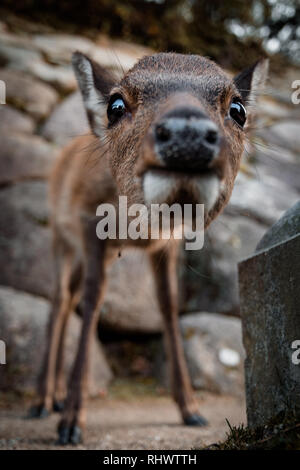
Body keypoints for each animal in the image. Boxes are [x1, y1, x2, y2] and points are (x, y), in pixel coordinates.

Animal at [28, 50, 268, 444]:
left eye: (238, 109)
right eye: (115, 105)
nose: (187, 134)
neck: (136, 228)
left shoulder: (167, 245)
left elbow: (169, 307)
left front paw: (191, 410)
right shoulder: (88, 224)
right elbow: (94, 300)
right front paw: (72, 425)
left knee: (68, 298)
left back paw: (57, 397)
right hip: (59, 238)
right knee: (59, 300)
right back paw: (41, 402)